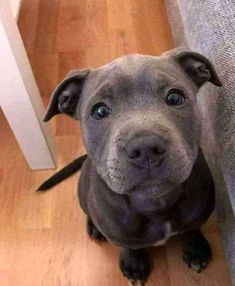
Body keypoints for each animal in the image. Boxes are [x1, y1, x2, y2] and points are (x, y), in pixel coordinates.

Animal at [38, 50, 220, 284]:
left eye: (175, 98)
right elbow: (127, 247)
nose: (145, 147)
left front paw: (196, 250)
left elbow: (191, 229)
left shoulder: (197, 213)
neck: (154, 204)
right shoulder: (118, 233)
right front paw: (133, 265)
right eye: (99, 111)